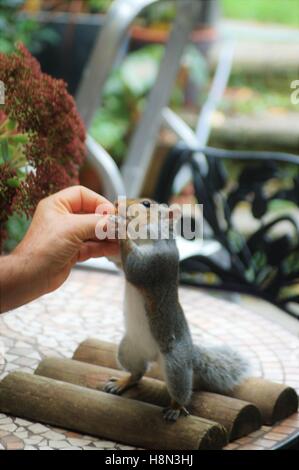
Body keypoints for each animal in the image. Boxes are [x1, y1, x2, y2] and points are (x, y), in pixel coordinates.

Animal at [104, 198, 250, 422]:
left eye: (146, 204)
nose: (116, 203)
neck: (144, 238)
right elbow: (120, 263)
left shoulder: (158, 261)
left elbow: (137, 267)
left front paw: (119, 226)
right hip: (128, 351)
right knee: (138, 373)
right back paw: (123, 382)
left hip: (175, 366)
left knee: (180, 389)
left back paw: (176, 407)